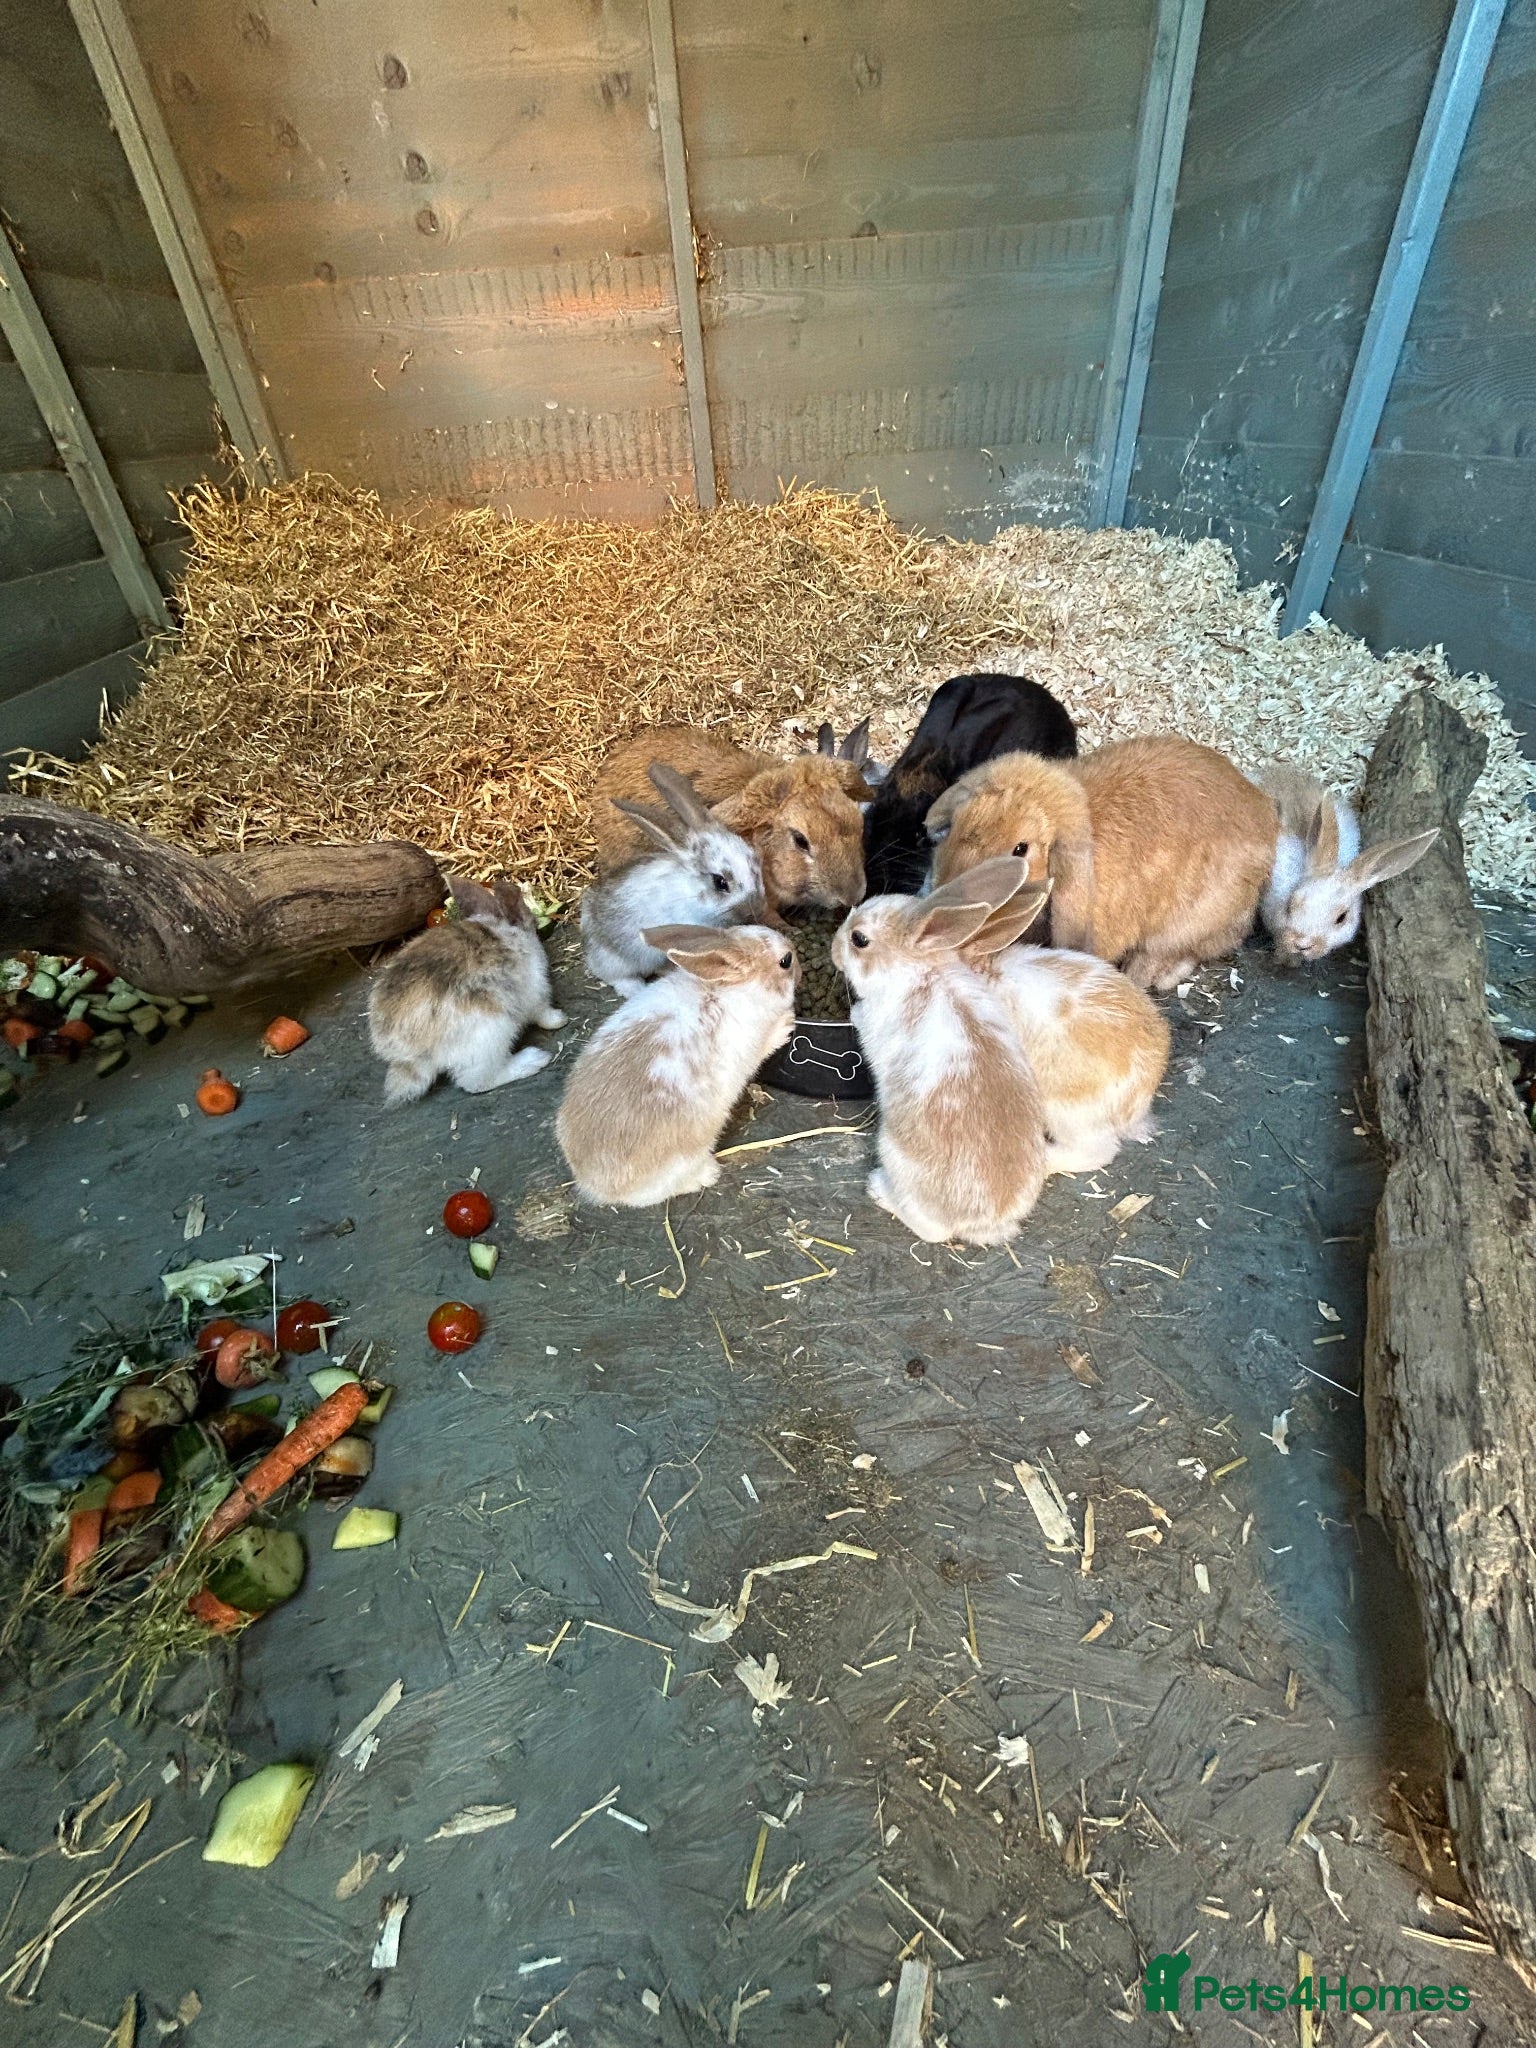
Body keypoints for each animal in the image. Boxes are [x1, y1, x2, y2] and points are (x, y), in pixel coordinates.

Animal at [368, 876, 565, 1105]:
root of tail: (410, 1057)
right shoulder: (536, 992)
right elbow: (543, 1013)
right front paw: (560, 1019)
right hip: (491, 1032)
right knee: (475, 1082)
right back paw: (533, 1060)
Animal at [556, 923, 798, 1207]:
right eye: (785, 961)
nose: (798, 960)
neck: (726, 989)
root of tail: (594, 1186)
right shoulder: (751, 1045)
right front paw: (786, 1025)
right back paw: (709, 1174)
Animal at [831, 857, 1054, 1245]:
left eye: (859, 940)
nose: (832, 949)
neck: (921, 970)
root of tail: (985, 1222)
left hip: (893, 1154)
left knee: (931, 1230)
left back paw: (879, 1189)